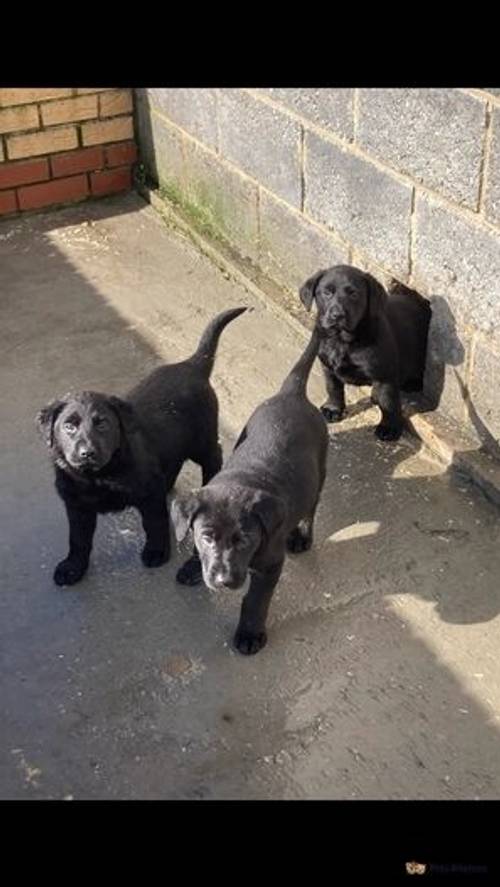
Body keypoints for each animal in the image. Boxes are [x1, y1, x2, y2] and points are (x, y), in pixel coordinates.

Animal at [36, 306, 246, 588]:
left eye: (103, 424)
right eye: (69, 426)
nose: (87, 453)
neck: (100, 475)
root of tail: (191, 365)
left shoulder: (148, 493)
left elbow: (154, 522)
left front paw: (157, 552)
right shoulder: (77, 504)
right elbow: (78, 539)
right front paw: (73, 567)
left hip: (202, 440)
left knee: (214, 456)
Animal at [172, 326, 328, 652]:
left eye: (244, 539)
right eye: (208, 537)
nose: (223, 580)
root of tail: (291, 393)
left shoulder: (271, 565)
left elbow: (256, 601)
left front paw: (249, 634)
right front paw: (193, 565)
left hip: (321, 467)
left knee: (311, 507)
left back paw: (302, 536)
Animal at [298, 266, 432, 442]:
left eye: (354, 294)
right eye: (327, 292)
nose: (337, 315)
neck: (343, 340)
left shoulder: (385, 375)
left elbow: (388, 402)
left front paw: (389, 428)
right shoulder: (327, 367)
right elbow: (333, 388)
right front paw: (333, 409)